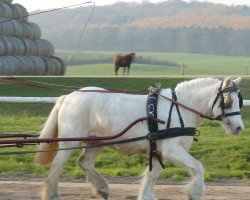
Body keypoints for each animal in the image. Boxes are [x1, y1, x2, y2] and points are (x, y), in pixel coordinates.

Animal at [35, 77, 244, 200]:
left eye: (239, 100)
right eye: (229, 101)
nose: (239, 128)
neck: (181, 107)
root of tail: (68, 97)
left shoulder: (160, 151)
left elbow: (152, 175)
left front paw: (146, 196)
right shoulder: (172, 150)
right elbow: (198, 166)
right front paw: (194, 192)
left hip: (97, 141)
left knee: (84, 162)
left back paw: (102, 188)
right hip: (70, 141)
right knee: (58, 165)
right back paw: (52, 194)